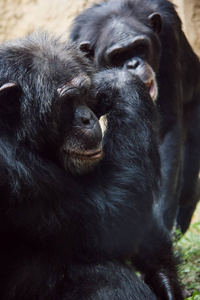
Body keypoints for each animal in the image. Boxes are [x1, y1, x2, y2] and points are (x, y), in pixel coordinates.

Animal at [0, 32, 183, 300]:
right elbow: (111, 220)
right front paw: (115, 80)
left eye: (83, 93)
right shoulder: (13, 172)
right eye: (67, 101)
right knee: (107, 275)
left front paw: (163, 275)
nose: (87, 118)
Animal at [70, 0, 200, 234]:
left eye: (140, 47)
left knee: (187, 184)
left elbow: (167, 126)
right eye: (117, 56)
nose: (133, 64)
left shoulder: (169, 36)